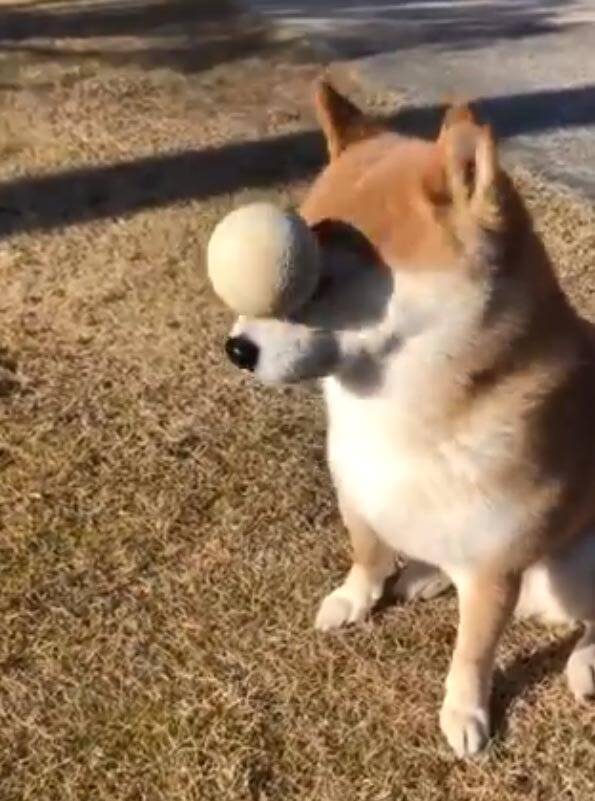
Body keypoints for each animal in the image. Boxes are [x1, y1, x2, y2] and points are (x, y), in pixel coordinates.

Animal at [222, 81, 595, 756]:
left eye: (321, 280)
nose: (237, 349)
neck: (393, 412)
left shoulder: (495, 565)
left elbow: (472, 652)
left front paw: (464, 712)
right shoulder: (359, 491)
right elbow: (367, 555)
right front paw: (354, 599)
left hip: (579, 563)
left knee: (589, 622)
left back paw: (584, 662)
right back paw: (424, 575)